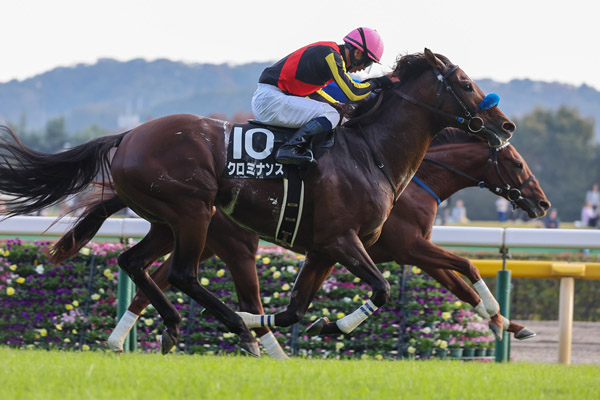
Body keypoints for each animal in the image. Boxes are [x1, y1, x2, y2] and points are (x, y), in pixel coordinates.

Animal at [0, 49, 515, 357]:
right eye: (464, 83)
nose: (505, 125)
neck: (372, 153)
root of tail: (127, 135)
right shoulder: (344, 240)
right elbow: (382, 290)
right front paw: (313, 326)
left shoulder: (324, 249)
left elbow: (296, 310)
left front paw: (318, 326)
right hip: (194, 212)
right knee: (182, 274)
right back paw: (236, 325)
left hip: (167, 220)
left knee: (135, 262)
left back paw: (183, 325)